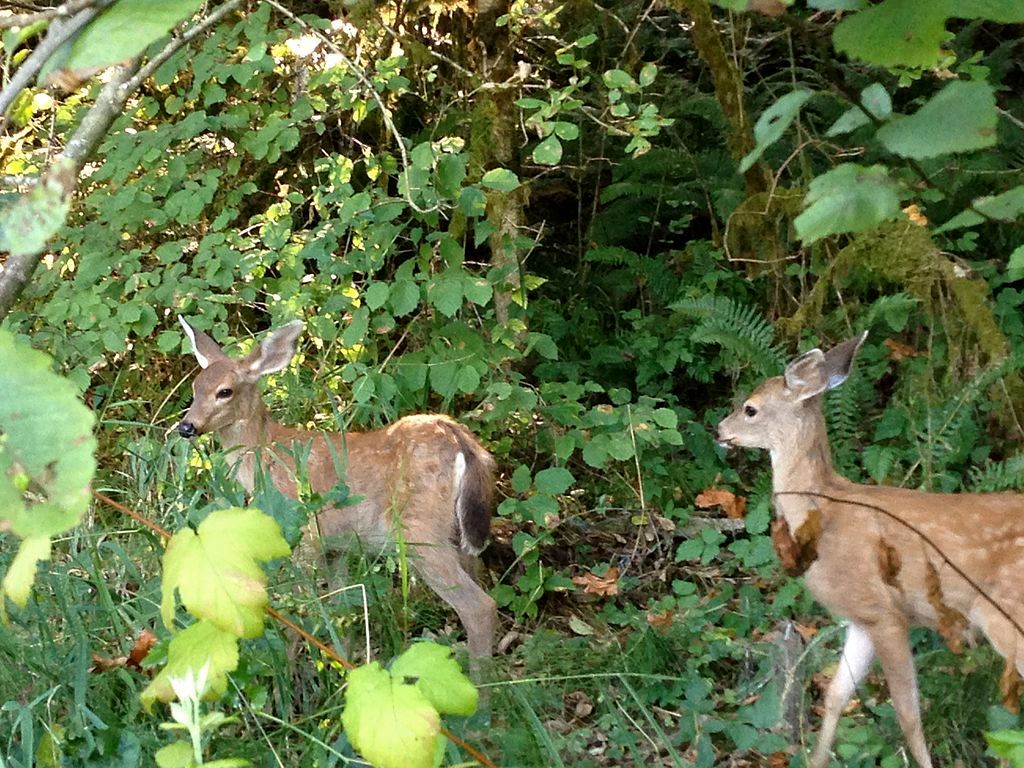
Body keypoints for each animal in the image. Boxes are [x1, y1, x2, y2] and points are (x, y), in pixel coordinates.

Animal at [175, 316, 498, 666]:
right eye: (194, 389)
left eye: (225, 391)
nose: (187, 427)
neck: (266, 456)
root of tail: (460, 441)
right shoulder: (337, 547)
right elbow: (342, 607)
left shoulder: (304, 534)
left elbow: (301, 608)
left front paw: (292, 666)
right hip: (460, 537)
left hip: (420, 531)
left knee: (479, 608)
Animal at [717, 332, 1024, 768]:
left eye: (750, 408)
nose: (718, 429)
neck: (825, 512)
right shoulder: (860, 618)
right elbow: (835, 696)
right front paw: (817, 760)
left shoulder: (885, 612)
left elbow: (908, 714)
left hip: (1008, 613)